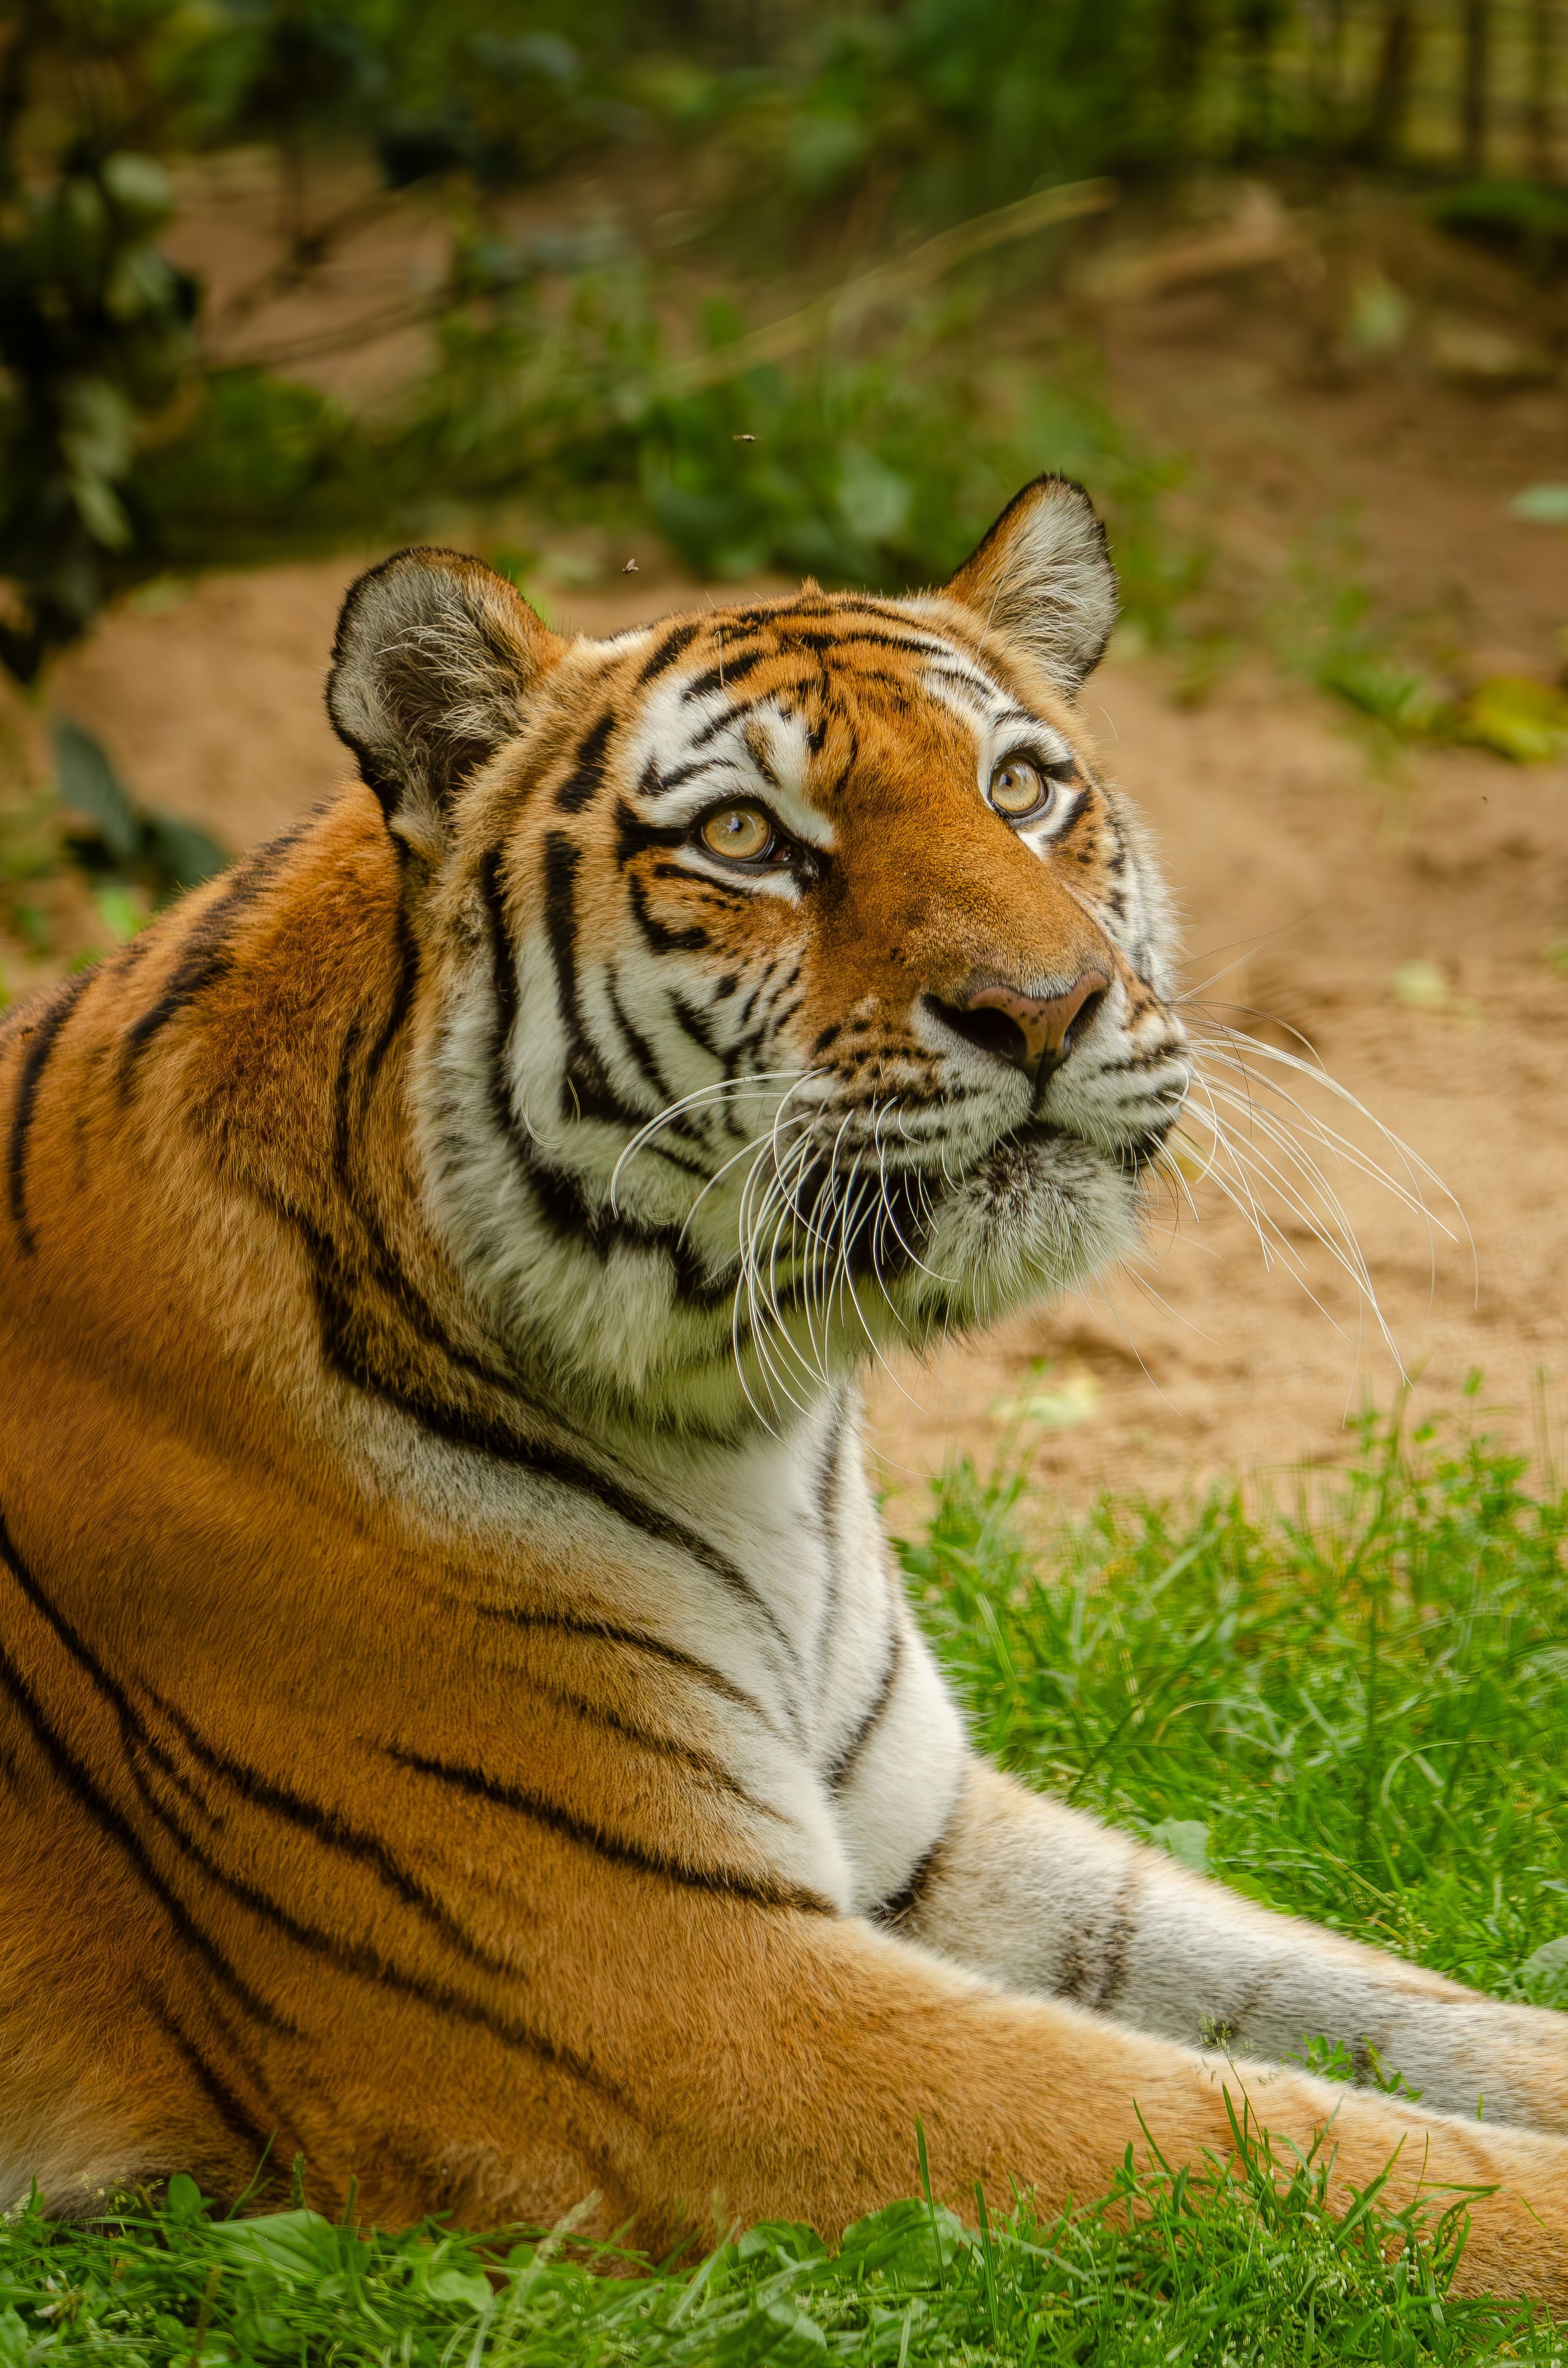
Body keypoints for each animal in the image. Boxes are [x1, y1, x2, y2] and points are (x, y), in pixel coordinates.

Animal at [2, 474, 1566, 2299]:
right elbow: (1282, 2144)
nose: (1042, 1006)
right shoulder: (682, 1995)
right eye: (747, 840)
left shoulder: (926, 1833)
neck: (746, 1421)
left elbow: (1377, 2004)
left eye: (1020, 789)